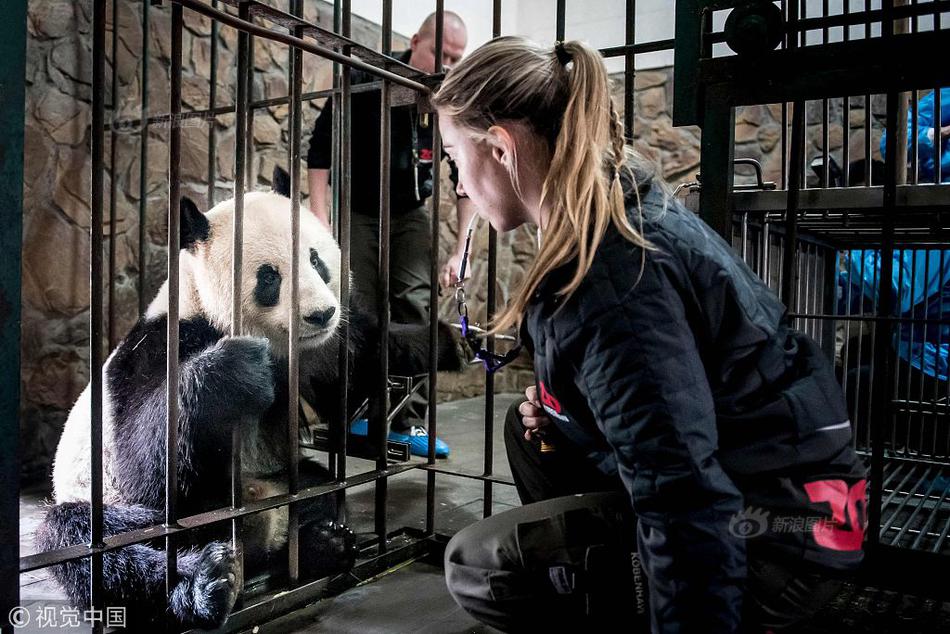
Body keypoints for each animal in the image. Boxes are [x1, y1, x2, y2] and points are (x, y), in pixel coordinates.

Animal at [37, 170, 468, 628]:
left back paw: (321, 545)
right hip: (133, 512)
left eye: (316, 260)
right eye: (269, 277)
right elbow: (143, 467)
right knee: (90, 543)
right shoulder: (157, 348)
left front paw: (447, 341)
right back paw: (206, 585)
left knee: (320, 488)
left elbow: (359, 362)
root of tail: (255, 532)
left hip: (284, 483)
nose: (321, 314)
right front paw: (239, 371)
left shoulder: (317, 352)